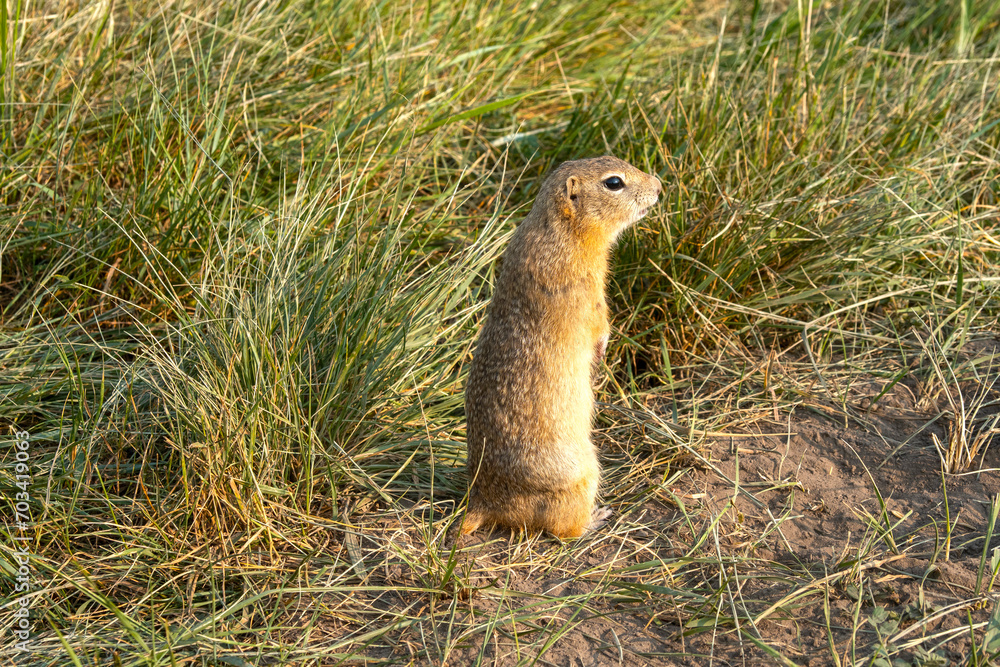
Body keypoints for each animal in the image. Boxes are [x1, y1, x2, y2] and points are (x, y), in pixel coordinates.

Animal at [462, 155, 662, 539]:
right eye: (614, 183)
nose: (659, 186)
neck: (560, 230)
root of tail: (484, 501)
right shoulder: (589, 291)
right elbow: (599, 321)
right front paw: (602, 349)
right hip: (583, 476)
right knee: (562, 529)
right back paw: (595, 519)